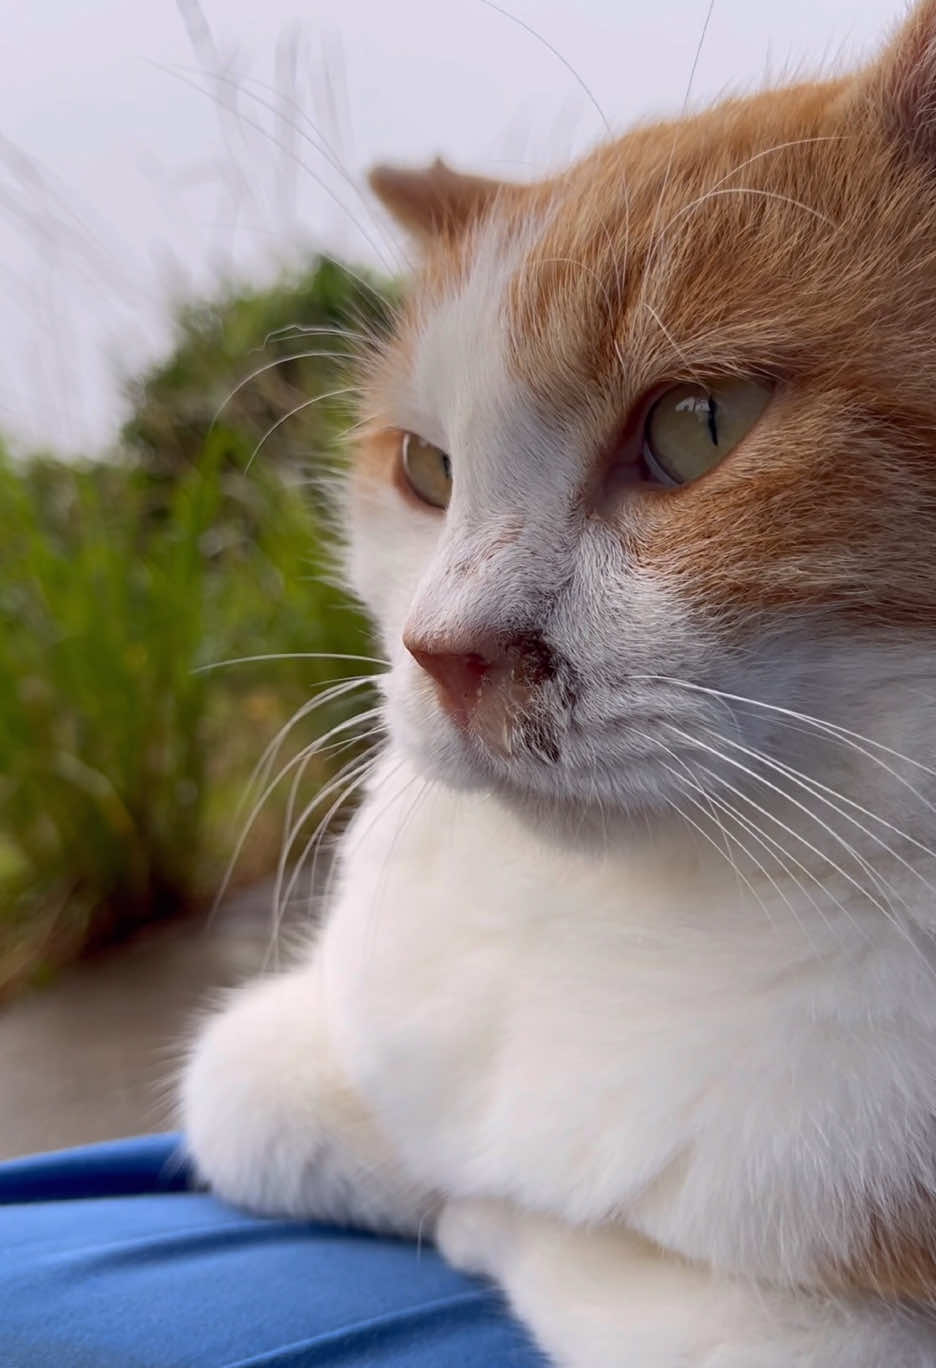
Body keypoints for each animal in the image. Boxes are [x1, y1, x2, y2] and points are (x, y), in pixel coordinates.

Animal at [183, 5, 936, 1362]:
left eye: (699, 422)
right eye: (427, 468)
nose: (446, 653)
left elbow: (621, 1267)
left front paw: (492, 1220)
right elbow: (243, 1087)